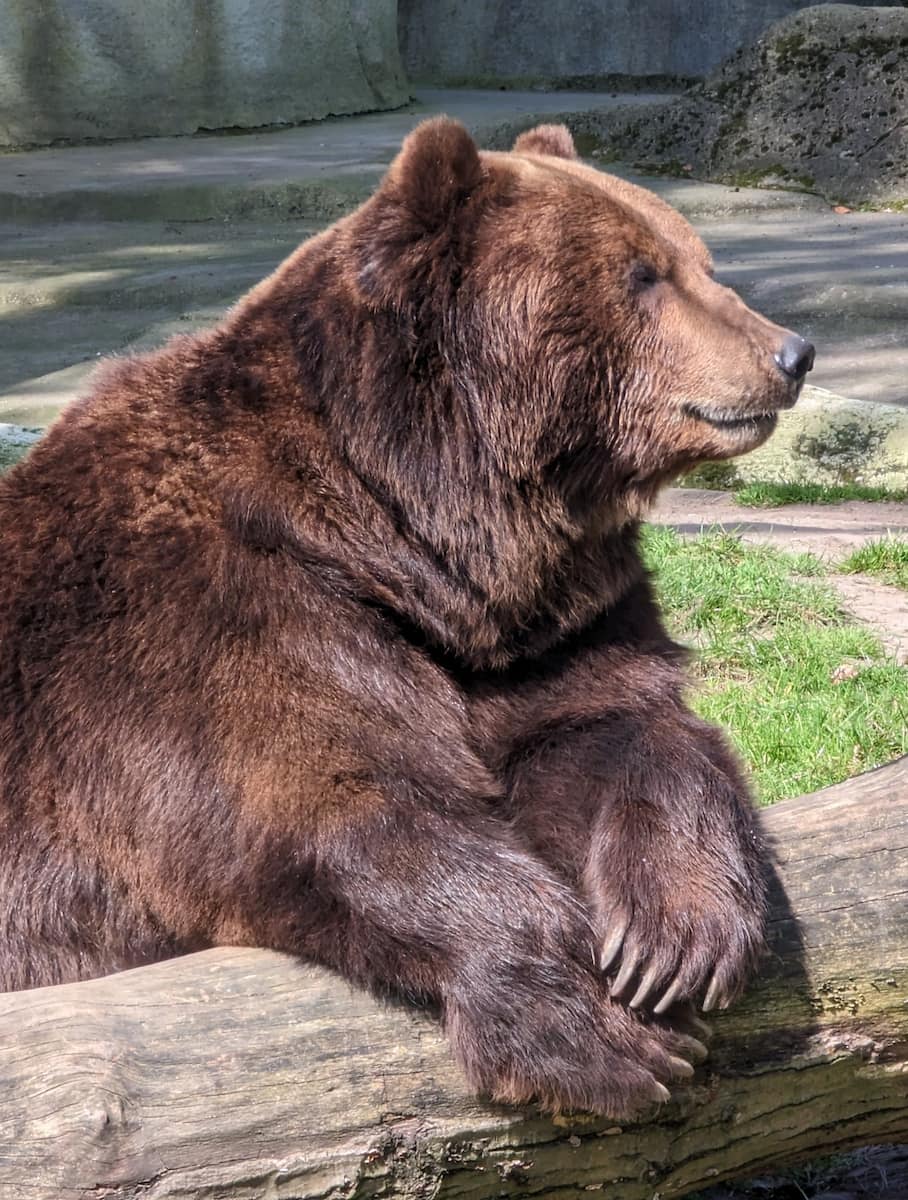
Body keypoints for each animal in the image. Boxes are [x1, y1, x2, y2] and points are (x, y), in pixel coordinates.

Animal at [0, 119, 810, 1113]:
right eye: (642, 274)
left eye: (698, 260)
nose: (791, 353)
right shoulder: (204, 626)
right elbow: (331, 804)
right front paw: (606, 1034)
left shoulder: (543, 631)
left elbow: (620, 726)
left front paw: (673, 942)